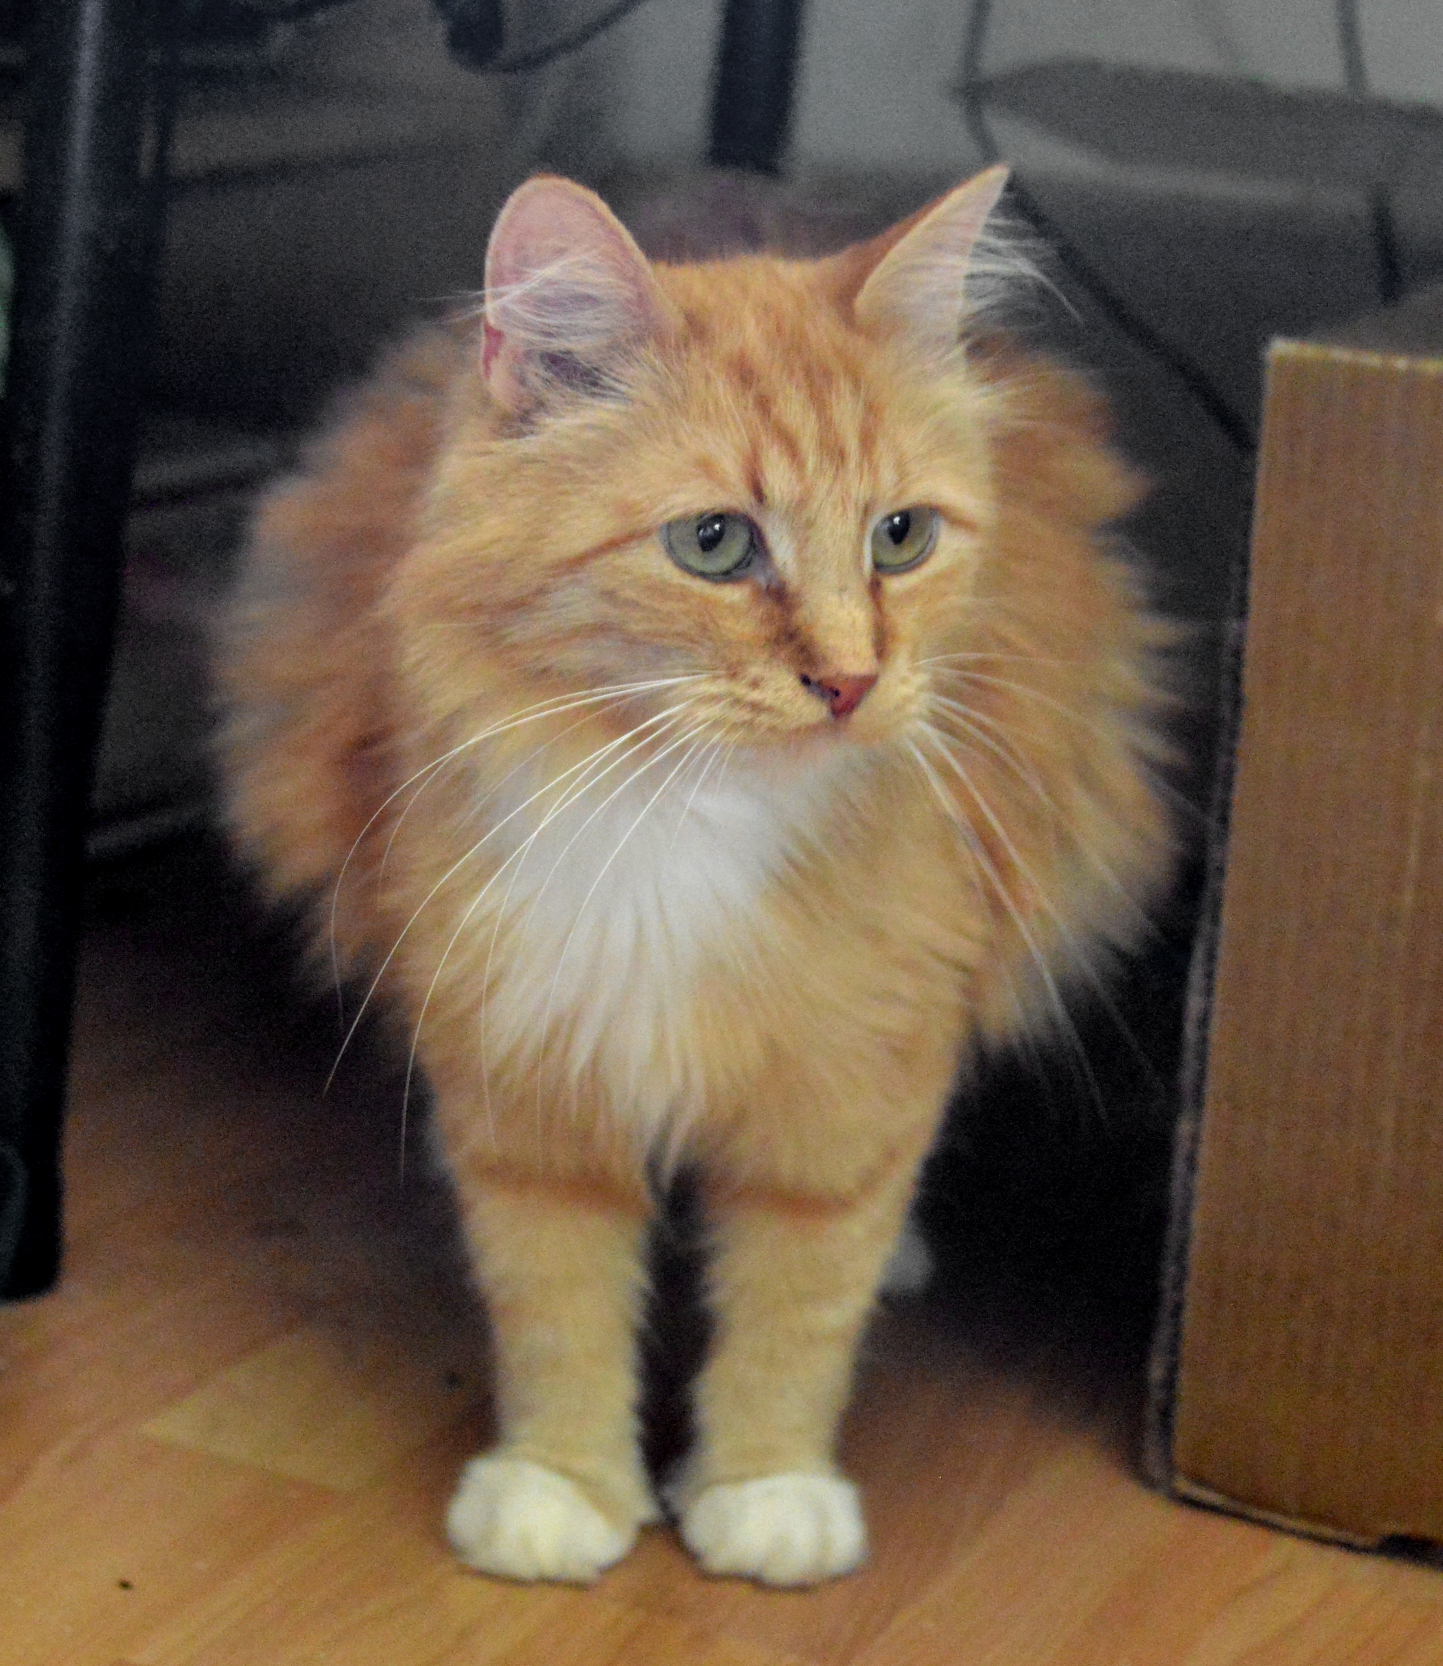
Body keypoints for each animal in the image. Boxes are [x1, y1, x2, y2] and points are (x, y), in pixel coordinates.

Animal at [216, 169, 1179, 1586]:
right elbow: (556, 1310)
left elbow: (796, 1314)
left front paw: (766, 1493)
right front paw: (562, 1491)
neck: (684, 812)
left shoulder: (851, 1089)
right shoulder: (528, 1079)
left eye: (900, 537)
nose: (850, 681)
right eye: (715, 544)